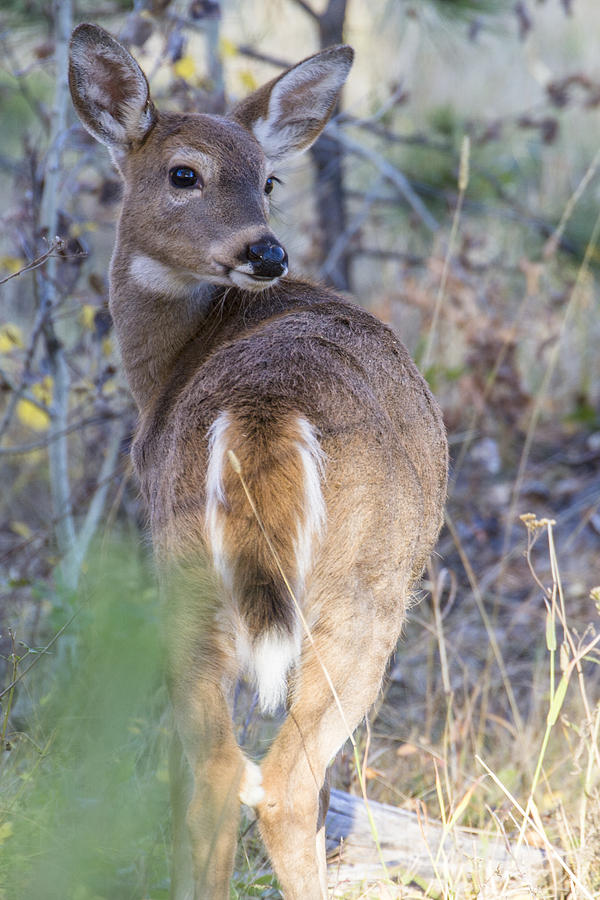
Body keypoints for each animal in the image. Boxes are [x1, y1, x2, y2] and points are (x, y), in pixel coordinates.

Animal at [69, 22, 446, 900]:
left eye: (270, 177)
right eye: (185, 173)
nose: (267, 251)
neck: (167, 370)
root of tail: (265, 409)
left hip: (190, 576)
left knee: (218, 772)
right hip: (358, 597)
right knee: (276, 784)